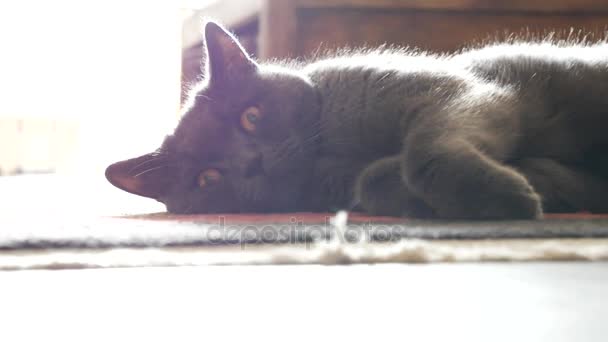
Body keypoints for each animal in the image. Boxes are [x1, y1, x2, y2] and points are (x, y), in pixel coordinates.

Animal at [105, 22, 608, 219]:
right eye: (208, 178)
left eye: (250, 117)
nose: (252, 163)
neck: (329, 148)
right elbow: (373, 180)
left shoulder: (459, 93)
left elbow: (425, 150)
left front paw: (504, 197)